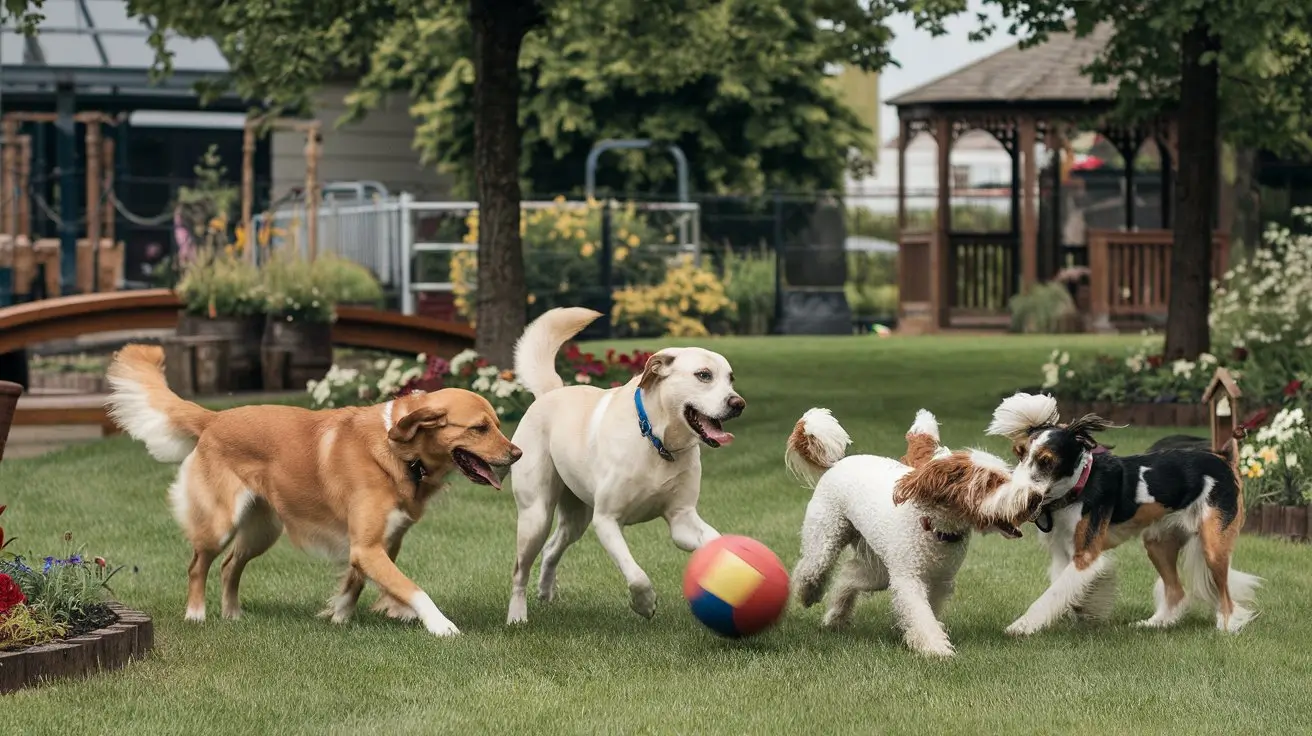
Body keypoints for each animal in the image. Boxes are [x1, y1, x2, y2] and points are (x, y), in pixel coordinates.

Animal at [104, 343, 519, 637]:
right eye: (479, 428)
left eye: (497, 424)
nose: (518, 453)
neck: (400, 454)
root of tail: (214, 418)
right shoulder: (367, 547)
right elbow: (412, 588)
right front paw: (440, 625)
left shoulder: (378, 544)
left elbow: (355, 583)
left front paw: (339, 618)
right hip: (220, 523)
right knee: (198, 565)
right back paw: (196, 615)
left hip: (262, 530)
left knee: (228, 566)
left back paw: (234, 615)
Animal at [986, 390, 1254, 637]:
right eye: (1020, 454)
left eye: (1046, 461)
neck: (1080, 487)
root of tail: (1222, 458)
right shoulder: (1062, 553)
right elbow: (1061, 591)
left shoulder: (1086, 555)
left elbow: (1052, 594)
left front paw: (1022, 626)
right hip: (1158, 543)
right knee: (1176, 592)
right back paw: (1156, 623)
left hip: (1213, 545)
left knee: (1225, 596)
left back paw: (1227, 626)